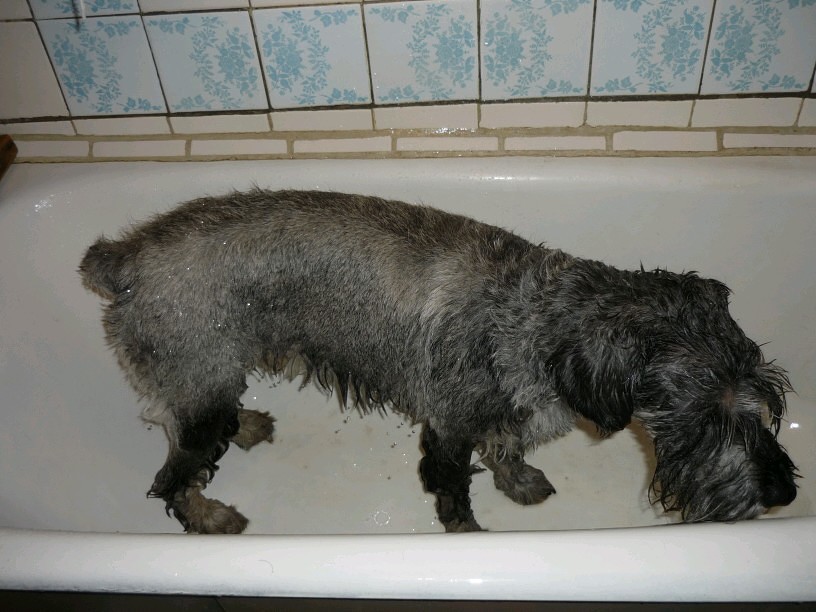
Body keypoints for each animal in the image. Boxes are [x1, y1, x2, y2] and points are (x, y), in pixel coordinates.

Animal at [79, 189, 798, 533]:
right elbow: (453, 490)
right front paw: (470, 532)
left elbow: (507, 451)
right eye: (709, 413)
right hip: (197, 384)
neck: (540, 316)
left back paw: (250, 424)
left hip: (209, 378)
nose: (783, 493)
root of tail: (123, 259)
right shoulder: (449, 429)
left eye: (765, 399)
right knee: (174, 476)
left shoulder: (505, 418)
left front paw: (521, 482)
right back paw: (212, 517)